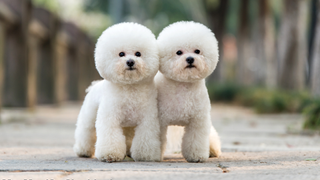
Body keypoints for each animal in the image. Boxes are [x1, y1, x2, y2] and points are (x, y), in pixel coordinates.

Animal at [74, 21, 161, 162]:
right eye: (121, 54)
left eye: (138, 53)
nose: (130, 62)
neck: (129, 87)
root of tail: (94, 85)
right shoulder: (110, 117)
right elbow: (110, 135)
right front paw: (110, 154)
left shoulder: (147, 119)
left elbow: (145, 136)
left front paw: (145, 155)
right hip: (89, 115)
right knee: (86, 131)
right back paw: (83, 151)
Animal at [156, 21, 221, 163]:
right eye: (179, 52)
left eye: (197, 51)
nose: (190, 59)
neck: (183, 85)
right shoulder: (161, 120)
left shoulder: (197, 120)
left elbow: (196, 138)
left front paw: (197, 156)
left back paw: (212, 150)